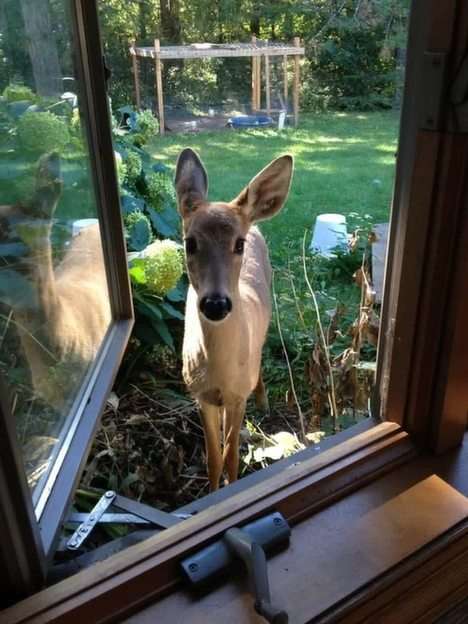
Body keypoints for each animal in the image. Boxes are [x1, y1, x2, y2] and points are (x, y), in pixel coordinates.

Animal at [175, 149, 292, 490]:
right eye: (189, 242)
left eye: (238, 244)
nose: (216, 304)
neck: (219, 370)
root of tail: (254, 220)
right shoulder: (200, 394)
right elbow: (214, 459)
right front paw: (213, 492)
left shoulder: (238, 395)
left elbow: (231, 458)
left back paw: (264, 401)